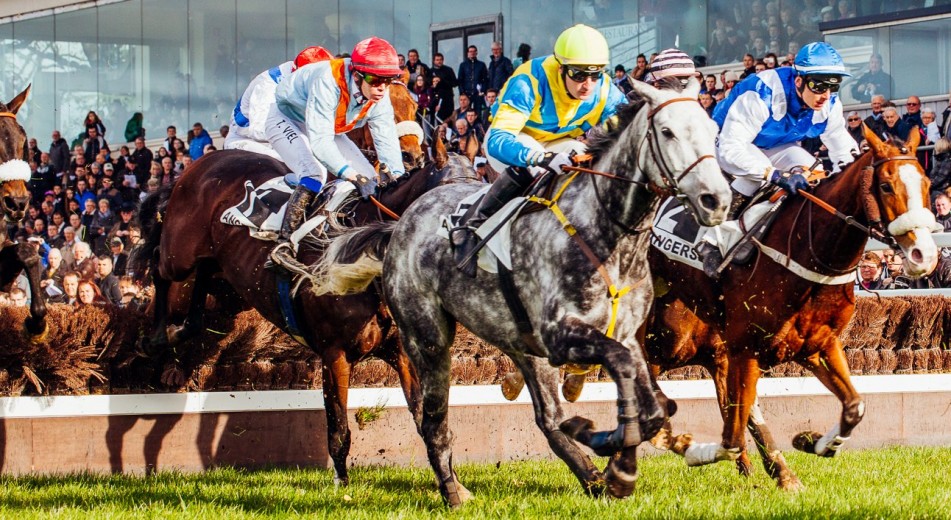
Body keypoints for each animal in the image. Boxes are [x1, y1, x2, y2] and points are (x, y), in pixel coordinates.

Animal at [137, 139, 472, 488]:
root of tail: (198, 163)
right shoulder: (335, 354)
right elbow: (339, 429)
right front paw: (342, 486)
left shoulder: (401, 352)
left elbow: (426, 422)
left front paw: (452, 482)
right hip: (181, 253)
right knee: (159, 266)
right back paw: (153, 339)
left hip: (224, 279)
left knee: (200, 286)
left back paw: (176, 332)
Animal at [312, 79, 728, 506]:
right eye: (667, 131)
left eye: (711, 129)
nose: (716, 200)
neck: (607, 236)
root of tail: (398, 225)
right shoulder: (563, 336)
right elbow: (633, 385)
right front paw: (614, 459)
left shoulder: (626, 337)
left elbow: (657, 405)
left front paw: (616, 465)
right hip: (426, 338)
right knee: (434, 418)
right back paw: (453, 490)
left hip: (521, 346)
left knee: (547, 418)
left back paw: (588, 476)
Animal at [648, 125, 936, 488]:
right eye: (885, 185)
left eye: (926, 184)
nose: (924, 255)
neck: (808, 253)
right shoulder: (746, 348)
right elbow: (731, 436)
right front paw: (693, 449)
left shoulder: (816, 345)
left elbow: (854, 407)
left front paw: (812, 442)